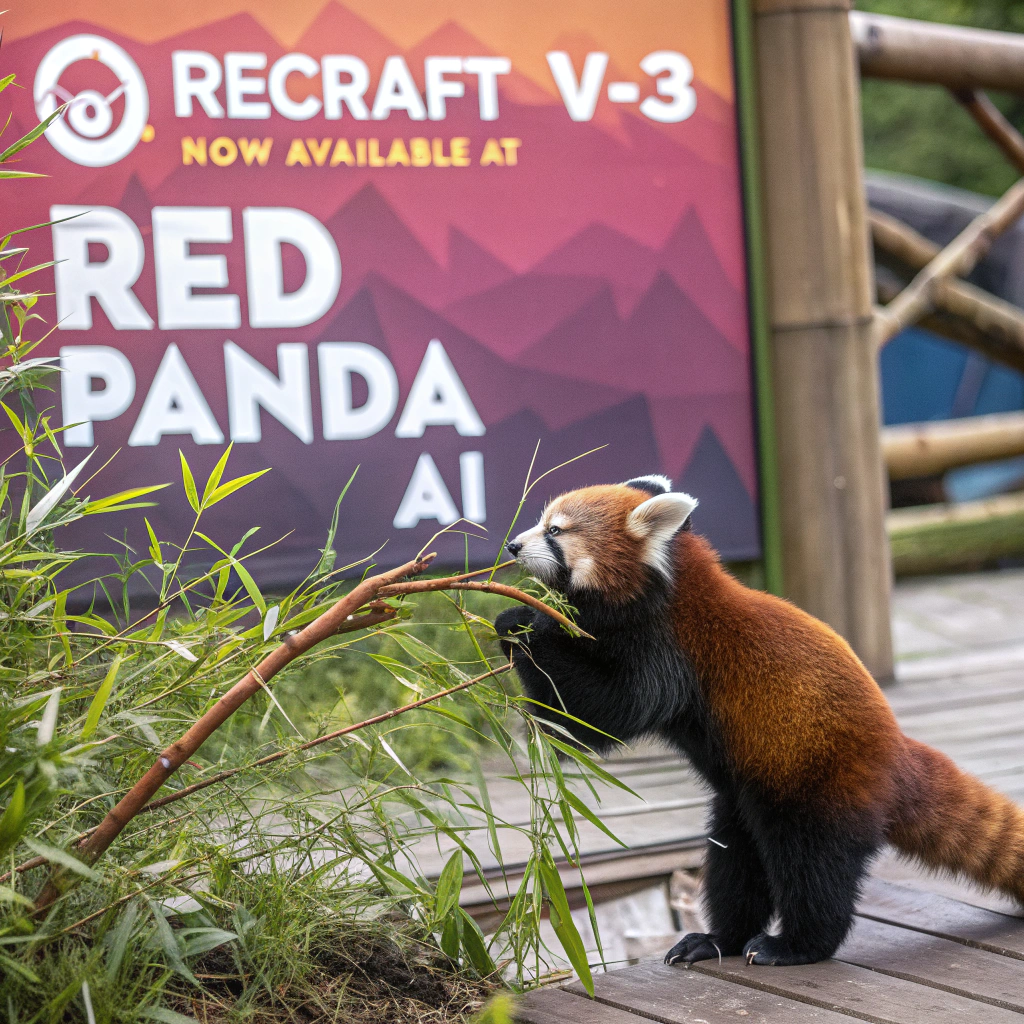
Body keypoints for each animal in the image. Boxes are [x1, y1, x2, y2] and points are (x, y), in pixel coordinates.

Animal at [494, 476, 1024, 967]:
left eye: (555, 530)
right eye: (541, 522)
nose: (513, 545)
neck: (670, 586)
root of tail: (897, 751)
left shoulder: (665, 650)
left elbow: (603, 715)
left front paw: (520, 623)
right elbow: (575, 722)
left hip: (818, 782)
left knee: (813, 868)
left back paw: (794, 946)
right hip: (742, 798)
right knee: (735, 864)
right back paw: (716, 939)